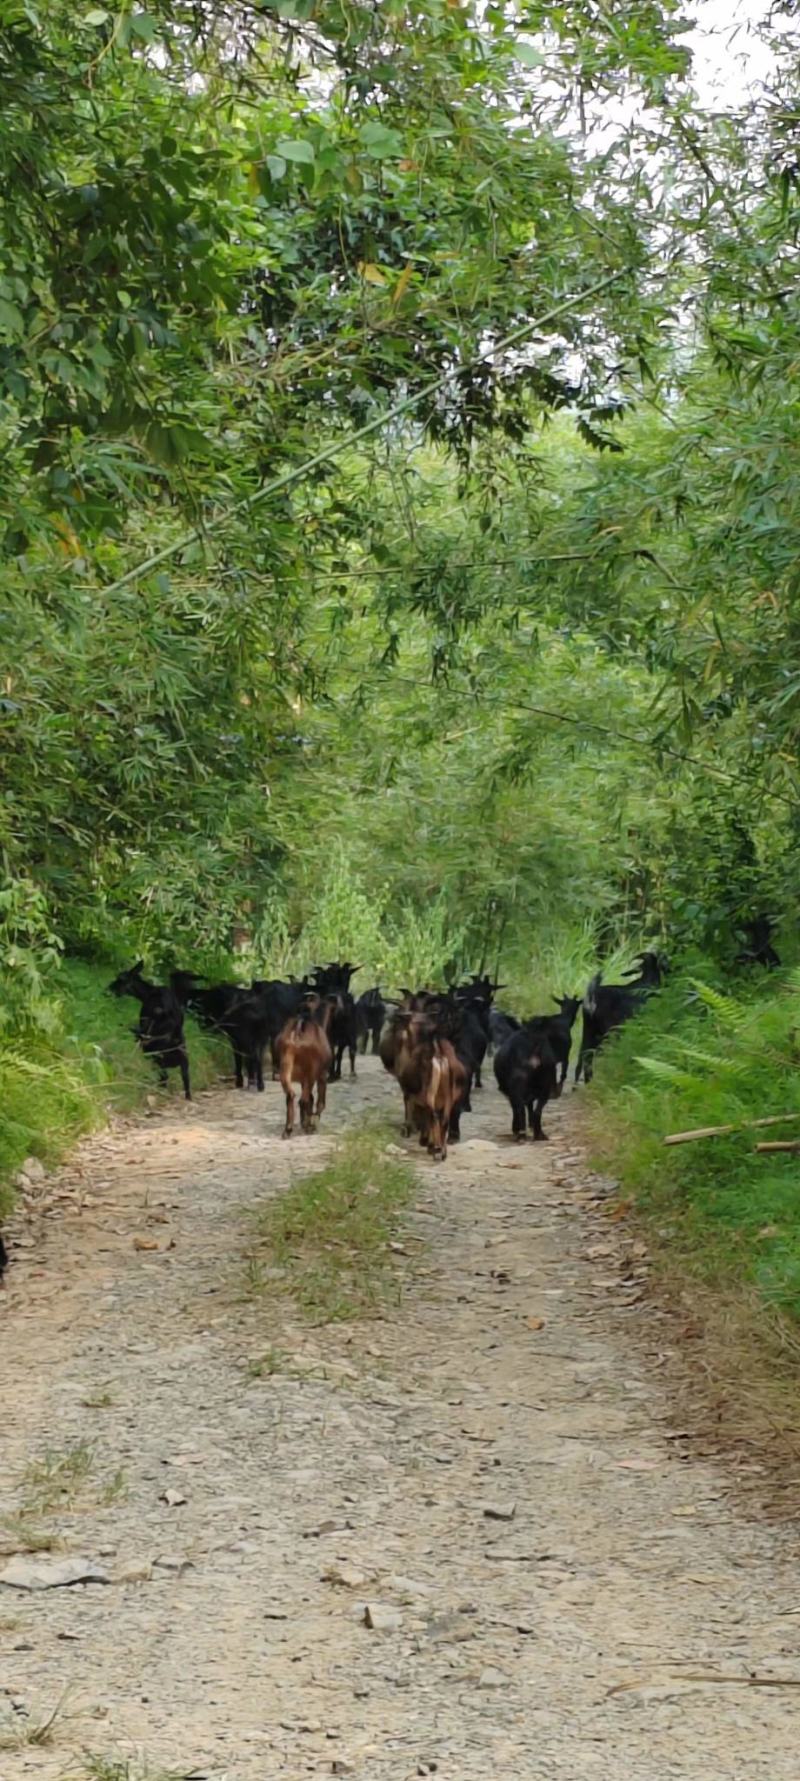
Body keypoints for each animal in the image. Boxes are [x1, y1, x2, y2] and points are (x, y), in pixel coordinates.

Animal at [109, 961, 190, 1097]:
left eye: (120, 979)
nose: (108, 989)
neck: (147, 993)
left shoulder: (144, 1028)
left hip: (155, 1052)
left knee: (163, 1077)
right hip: (181, 1054)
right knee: (185, 1081)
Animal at [276, 997, 331, 1132]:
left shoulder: (302, 1079)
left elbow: (311, 1098)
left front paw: (304, 1119)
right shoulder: (322, 1075)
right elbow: (320, 1102)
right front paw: (313, 1121)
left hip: (285, 1065)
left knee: (291, 1095)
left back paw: (288, 1129)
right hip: (311, 1072)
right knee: (303, 1100)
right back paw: (307, 1126)